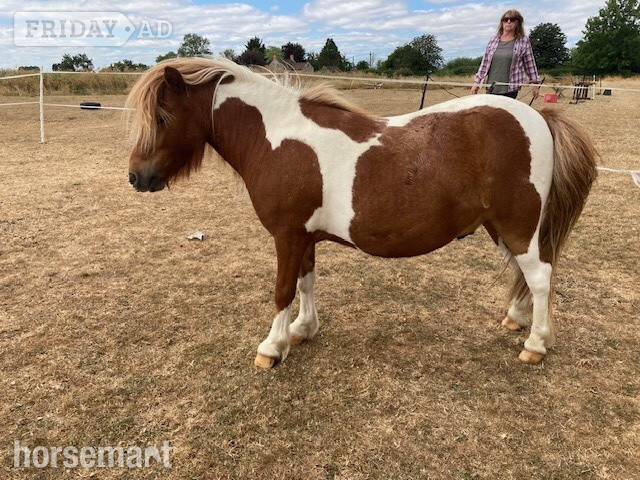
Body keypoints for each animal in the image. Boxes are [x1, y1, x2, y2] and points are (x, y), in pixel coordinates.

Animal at [125, 57, 598, 369]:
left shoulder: (286, 235)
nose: (136, 177)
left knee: (540, 276)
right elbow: (306, 282)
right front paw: (303, 329)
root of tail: (537, 116)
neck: (274, 137)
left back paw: (535, 344)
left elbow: (282, 291)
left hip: (519, 225)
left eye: (163, 117)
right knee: (523, 274)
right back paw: (516, 320)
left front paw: (272, 348)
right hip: (498, 226)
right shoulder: (304, 237)